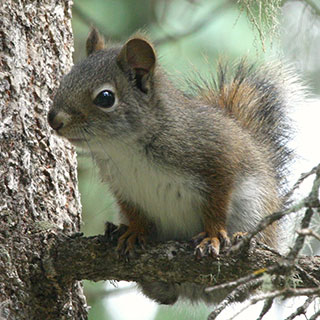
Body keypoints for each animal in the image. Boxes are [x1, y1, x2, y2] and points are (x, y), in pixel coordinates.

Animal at [47, 28, 304, 304]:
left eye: (105, 98)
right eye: (66, 79)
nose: (53, 120)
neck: (125, 148)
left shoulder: (219, 157)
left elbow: (217, 202)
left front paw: (213, 235)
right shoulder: (124, 188)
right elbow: (134, 212)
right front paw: (134, 231)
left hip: (254, 208)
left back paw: (244, 240)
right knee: (162, 294)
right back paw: (116, 231)